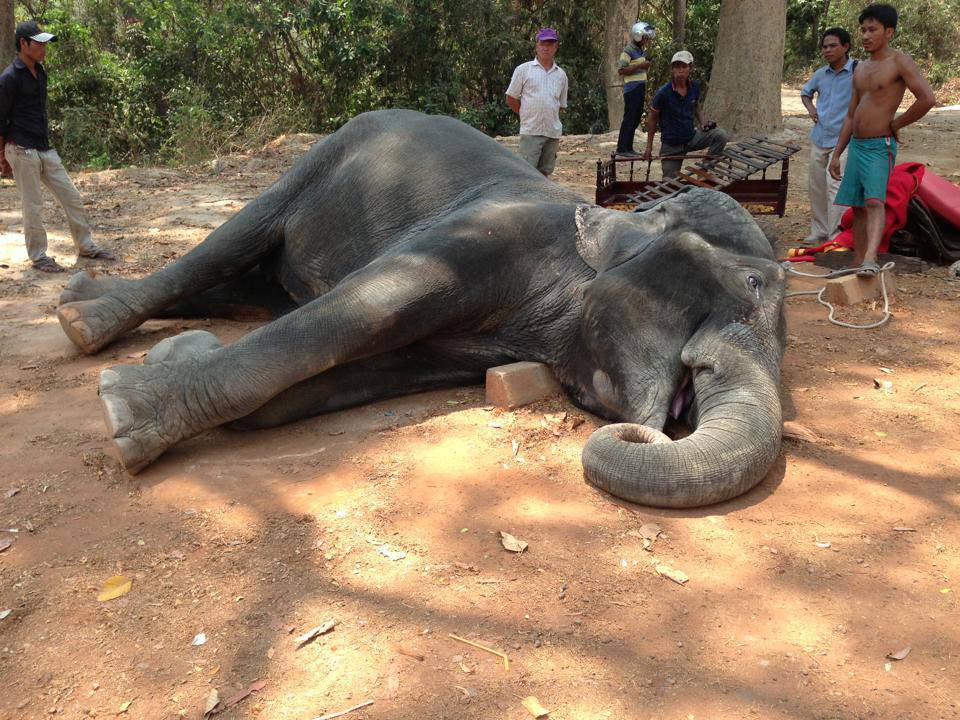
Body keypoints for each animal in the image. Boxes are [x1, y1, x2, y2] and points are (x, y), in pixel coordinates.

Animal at [56, 109, 784, 510]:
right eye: (749, 282)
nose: (657, 428)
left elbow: (335, 380)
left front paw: (179, 356)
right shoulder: (485, 236)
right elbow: (365, 307)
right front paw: (122, 409)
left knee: (250, 284)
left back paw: (85, 303)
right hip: (317, 160)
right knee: (227, 246)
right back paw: (82, 322)